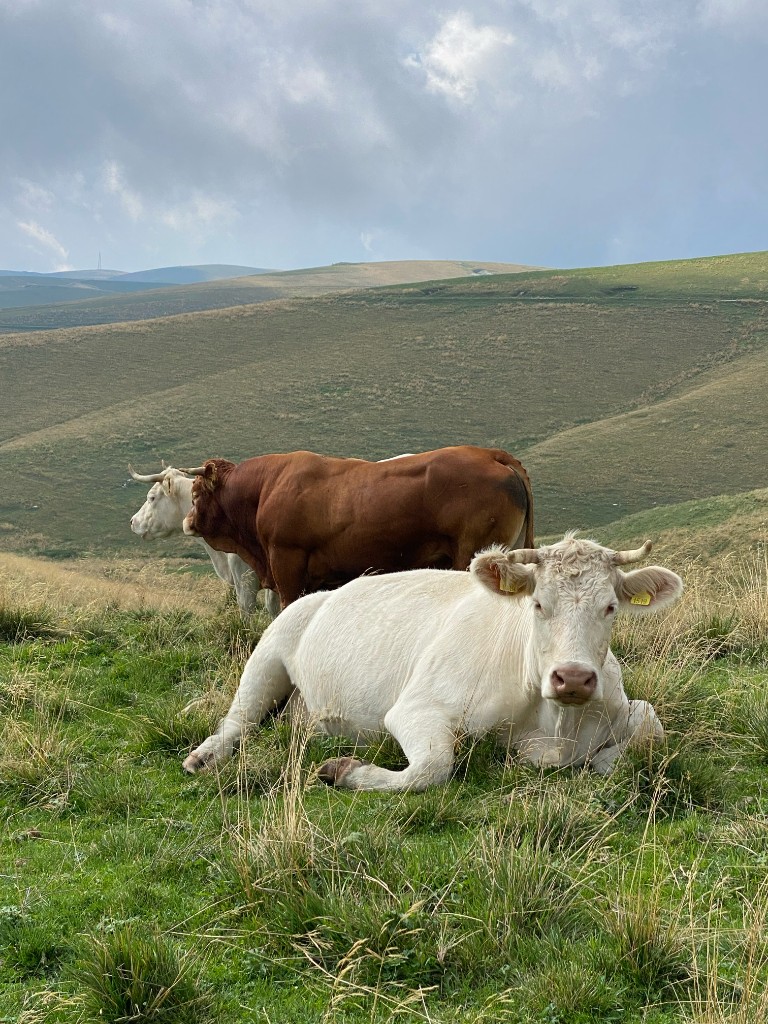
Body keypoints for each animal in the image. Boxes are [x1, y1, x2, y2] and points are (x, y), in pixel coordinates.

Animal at [182, 535, 683, 790]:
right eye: (538, 604)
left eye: (610, 607)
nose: (573, 678)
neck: (556, 724)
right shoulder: (417, 708)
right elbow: (434, 766)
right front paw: (345, 771)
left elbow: (650, 730)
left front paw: (606, 758)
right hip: (269, 651)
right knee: (239, 719)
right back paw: (205, 757)